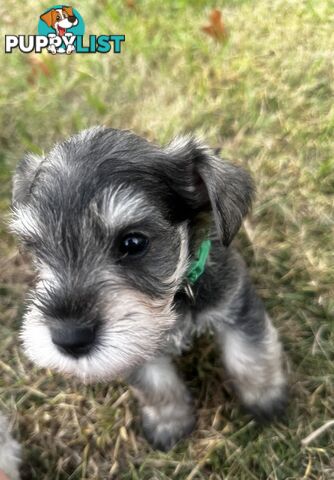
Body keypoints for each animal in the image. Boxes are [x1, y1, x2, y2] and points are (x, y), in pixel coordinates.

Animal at [10, 126, 288, 450]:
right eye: (35, 247)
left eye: (134, 242)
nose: (69, 339)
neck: (175, 298)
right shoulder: (134, 347)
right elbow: (156, 386)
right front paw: (169, 423)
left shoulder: (235, 301)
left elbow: (250, 354)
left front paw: (266, 399)